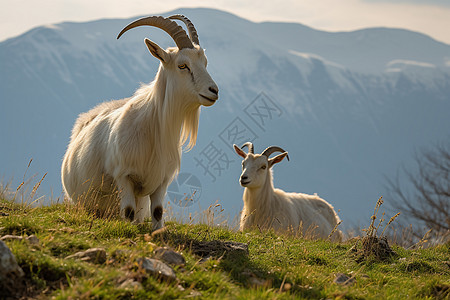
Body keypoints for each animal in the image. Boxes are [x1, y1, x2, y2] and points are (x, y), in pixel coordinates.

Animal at [62, 15, 220, 231]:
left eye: (204, 62)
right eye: (182, 65)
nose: (214, 91)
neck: (153, 127)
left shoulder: (162, 181)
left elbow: (158, 211)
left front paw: (157, 232)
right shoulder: (124, 176)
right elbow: (128, 211)